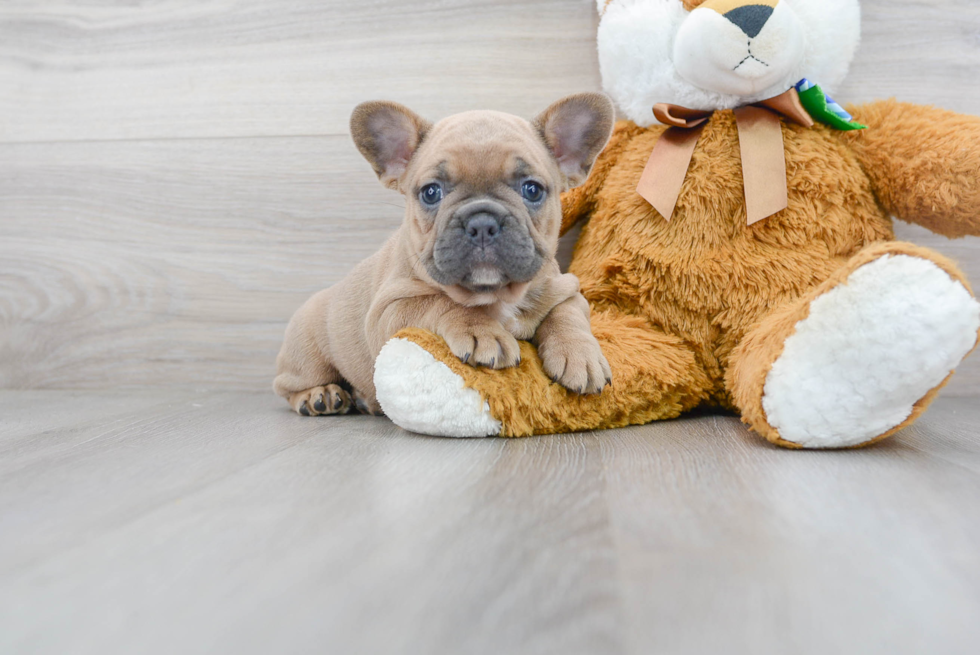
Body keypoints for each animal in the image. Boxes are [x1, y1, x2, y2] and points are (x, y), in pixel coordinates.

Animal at [274, 93, 612, 418]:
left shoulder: (566, 288)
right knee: (288, 386)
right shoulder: (389, 311)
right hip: (307, 353)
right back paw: (321, 396)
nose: (482, 223)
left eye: (532, 190)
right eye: (431, 192)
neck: (495, 295)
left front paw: (580, 356)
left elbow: (567, 314)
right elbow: (441, 302)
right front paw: (481, 331)